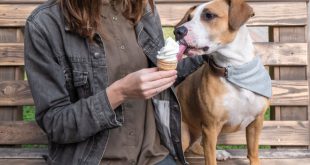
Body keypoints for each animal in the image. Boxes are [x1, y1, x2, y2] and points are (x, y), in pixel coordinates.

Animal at [176, 0, 270, 165]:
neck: (234, 70)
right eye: (189, 18)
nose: (178, 31)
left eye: (209, 15)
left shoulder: (256, 122)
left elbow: (253, 153)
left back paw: (219, 153)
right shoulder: (210, 127)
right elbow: (210, 158)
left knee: (196, 146)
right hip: (185, 133)